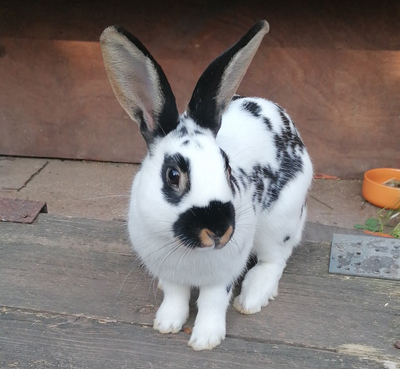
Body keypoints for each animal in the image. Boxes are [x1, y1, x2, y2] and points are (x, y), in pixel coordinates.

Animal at [99, 20, 312, 350]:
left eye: (227, 168)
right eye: (173, 175)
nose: (218, 230)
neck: (189, 251)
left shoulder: (222, 276)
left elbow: (212, 303)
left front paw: (205, 339)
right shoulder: (169, 273)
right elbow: (175, 296)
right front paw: (167, 324)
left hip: (281, 222)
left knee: (275, 260)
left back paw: (252, 297)